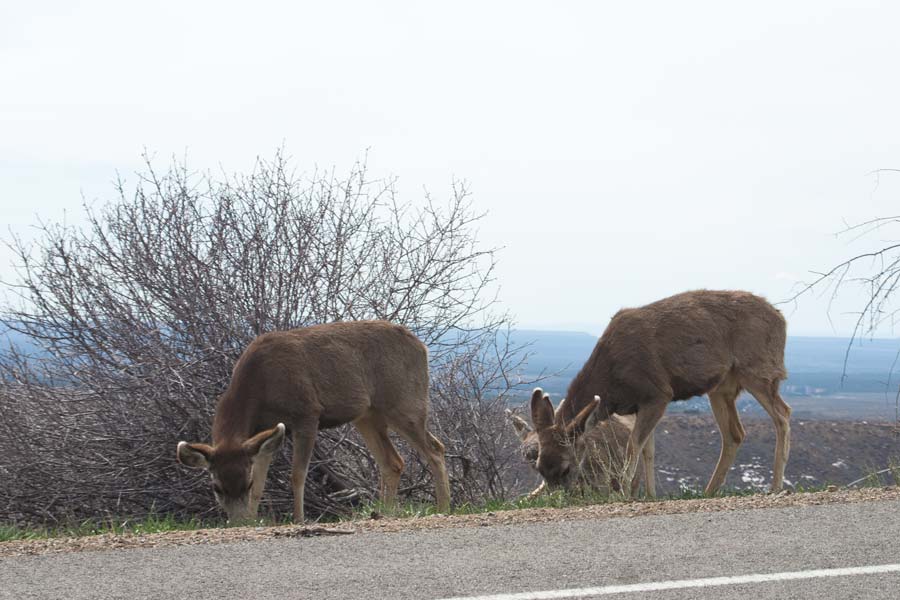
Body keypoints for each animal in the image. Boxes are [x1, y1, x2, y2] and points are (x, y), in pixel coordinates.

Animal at [176, 320, 451, 524]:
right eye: (216, 487)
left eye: (246, 482)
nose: (240, 521)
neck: (259, 387)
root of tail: (422, 347)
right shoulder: (266, 431)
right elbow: (263, 482)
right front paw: (255, 520)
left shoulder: (307, 414)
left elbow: (297, 475)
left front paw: (299, 519)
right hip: (367, 415)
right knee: (392, 461)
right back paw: (385, 512)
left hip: (405, 402)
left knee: (435, 448)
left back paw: (443, 507)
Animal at [526, 290, 790, 498]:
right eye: (539, 467)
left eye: (566, 468)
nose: (558, 499)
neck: (612, 381)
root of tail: (781, 319)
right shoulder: (638, 405)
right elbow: (648, 450)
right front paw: (649, 495)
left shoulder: (657, 393)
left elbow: (634, 445)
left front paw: (624, 493)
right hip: (722, 387)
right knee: (734, 433)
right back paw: (709, 490)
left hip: (759, 367)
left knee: (782, 414)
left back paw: (775, 487)